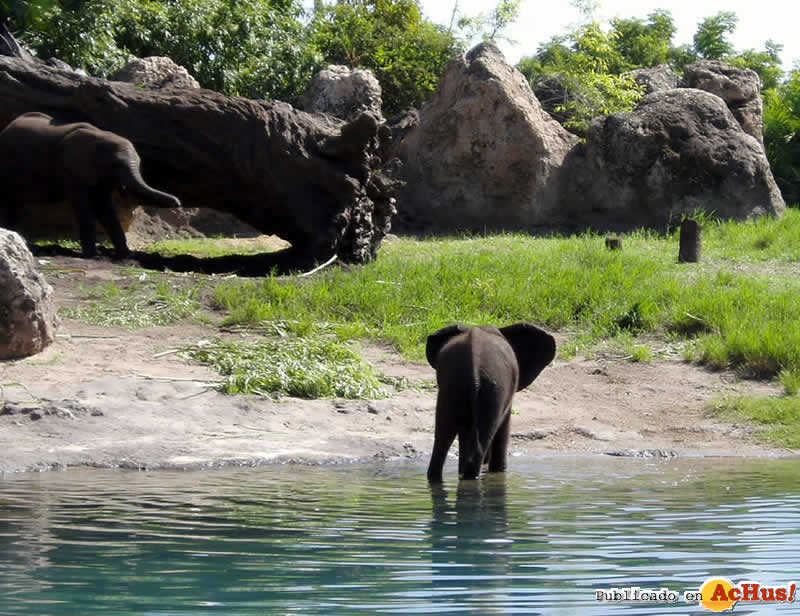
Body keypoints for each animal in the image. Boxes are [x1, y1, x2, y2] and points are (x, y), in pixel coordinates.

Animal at [0, 112, 181, 258]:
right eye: (115, 164)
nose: (178, 203)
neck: (100, 136)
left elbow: (105, 208)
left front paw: (126, 255)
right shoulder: (71, 170)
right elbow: (84, 207)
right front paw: (92, 256)